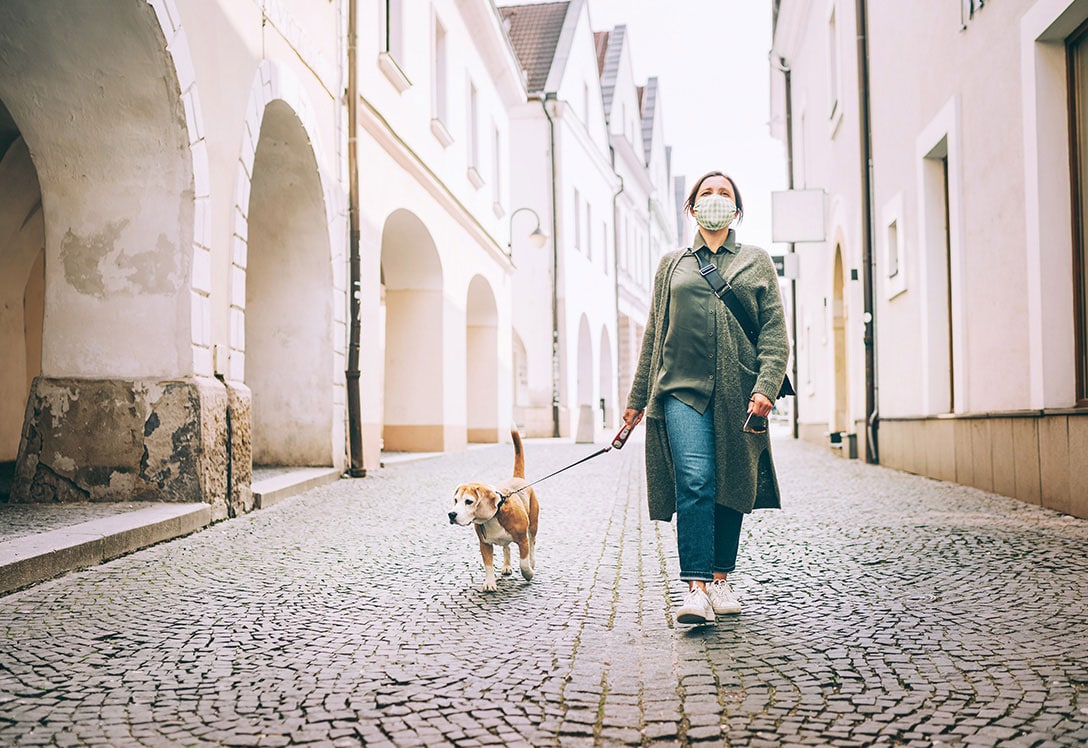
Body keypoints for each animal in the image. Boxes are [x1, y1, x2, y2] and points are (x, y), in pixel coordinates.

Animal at [448, 430, 537, 591]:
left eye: (468, 501)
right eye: (456, 500)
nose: (451, 514)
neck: (494, 517)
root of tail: (517, 478)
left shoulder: (523, 540)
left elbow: (523, 562)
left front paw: (528, 573)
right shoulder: (484, 544)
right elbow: (488, 565)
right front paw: (490, 583)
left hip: (533, 526)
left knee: (532, 544)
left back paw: (532, 562)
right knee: (506, 548)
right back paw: (507, 566)